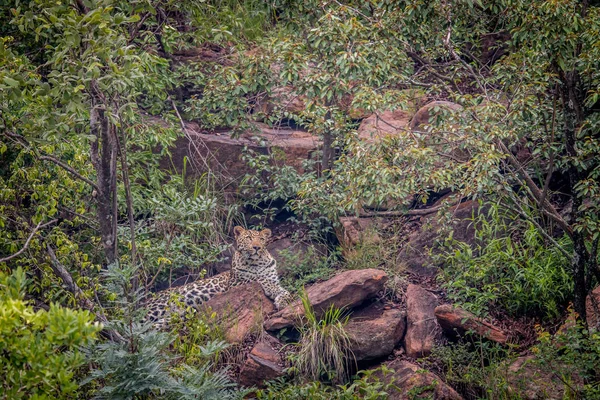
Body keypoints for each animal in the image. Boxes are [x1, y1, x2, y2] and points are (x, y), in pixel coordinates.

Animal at [146, 225, 296, 328]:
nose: (256, 247)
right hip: (159, 306)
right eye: (248, 238)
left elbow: (284, 290)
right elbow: (258, 278)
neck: (257, 263)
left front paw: (282, 300)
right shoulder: (235, 283)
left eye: (261, 239)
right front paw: (271, 290)